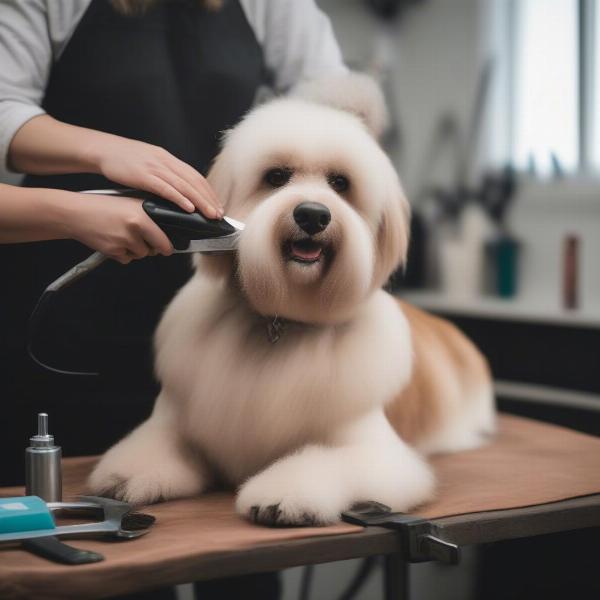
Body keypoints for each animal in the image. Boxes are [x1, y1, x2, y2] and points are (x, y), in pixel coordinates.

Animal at [88, 74, 492, 524]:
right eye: (277, 176)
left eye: (340, 183)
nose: (313, 215)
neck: (280, 324)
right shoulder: (175, 423)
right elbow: (156, 446)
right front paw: (124, 477)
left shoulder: (375, 451)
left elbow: (325, 461)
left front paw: (282, 497)